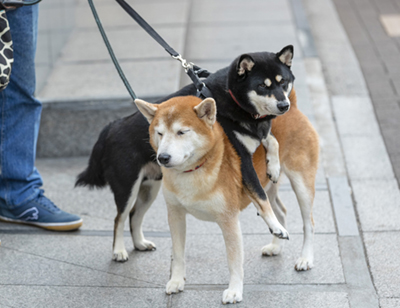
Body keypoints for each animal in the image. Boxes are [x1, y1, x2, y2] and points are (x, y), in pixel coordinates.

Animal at [136, 92, 320, 304]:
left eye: (182, 132)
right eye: (159, 133)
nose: (163, 157)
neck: (193, 171)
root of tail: (293, 108)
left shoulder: (229, 220)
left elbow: (234, 261)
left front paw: (234, 291)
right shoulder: (175, 215)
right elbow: (178, 253)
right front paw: (176, 281)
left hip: (301, 183)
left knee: (308, 223)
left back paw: (305, 258)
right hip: (267, 183)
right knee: (280, 211)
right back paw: (276, 241)